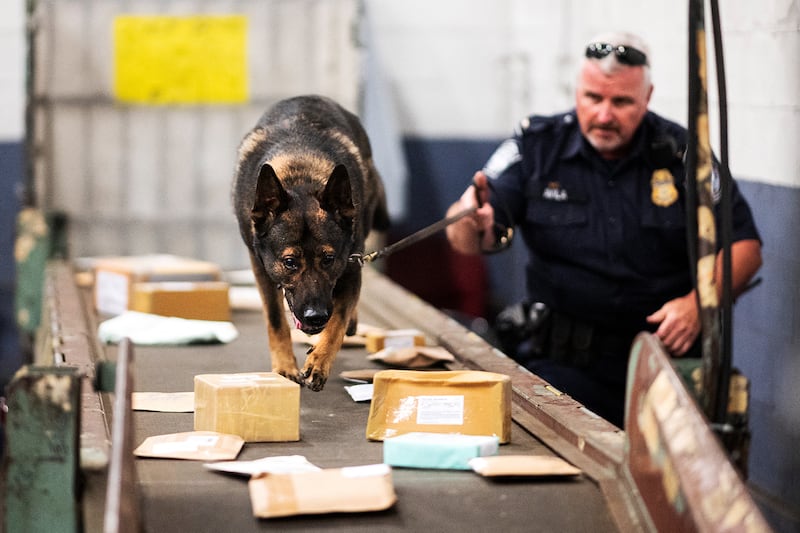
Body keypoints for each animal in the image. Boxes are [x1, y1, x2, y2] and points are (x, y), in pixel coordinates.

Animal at [233, 94, 390, 390]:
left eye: (328, 259)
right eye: (289, 262)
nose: (315, 316)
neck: (300, 176)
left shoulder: (351, 265)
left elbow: (337, 321)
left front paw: (319, 361)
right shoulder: (260, 267)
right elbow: (275, 319)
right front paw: (284, 367)